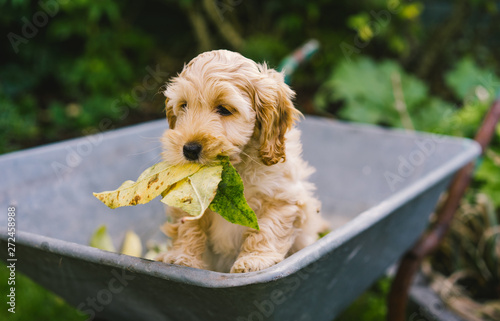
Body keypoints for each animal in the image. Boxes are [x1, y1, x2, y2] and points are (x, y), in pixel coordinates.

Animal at [156, 50, 328, 272]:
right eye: (184, 105)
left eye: (224, 109)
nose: (189, 149)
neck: (233, 169)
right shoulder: (187, 197)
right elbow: (188, 227)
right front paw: (182, 257)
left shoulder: (282, 197)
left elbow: (267, 228)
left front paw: (255, 259)